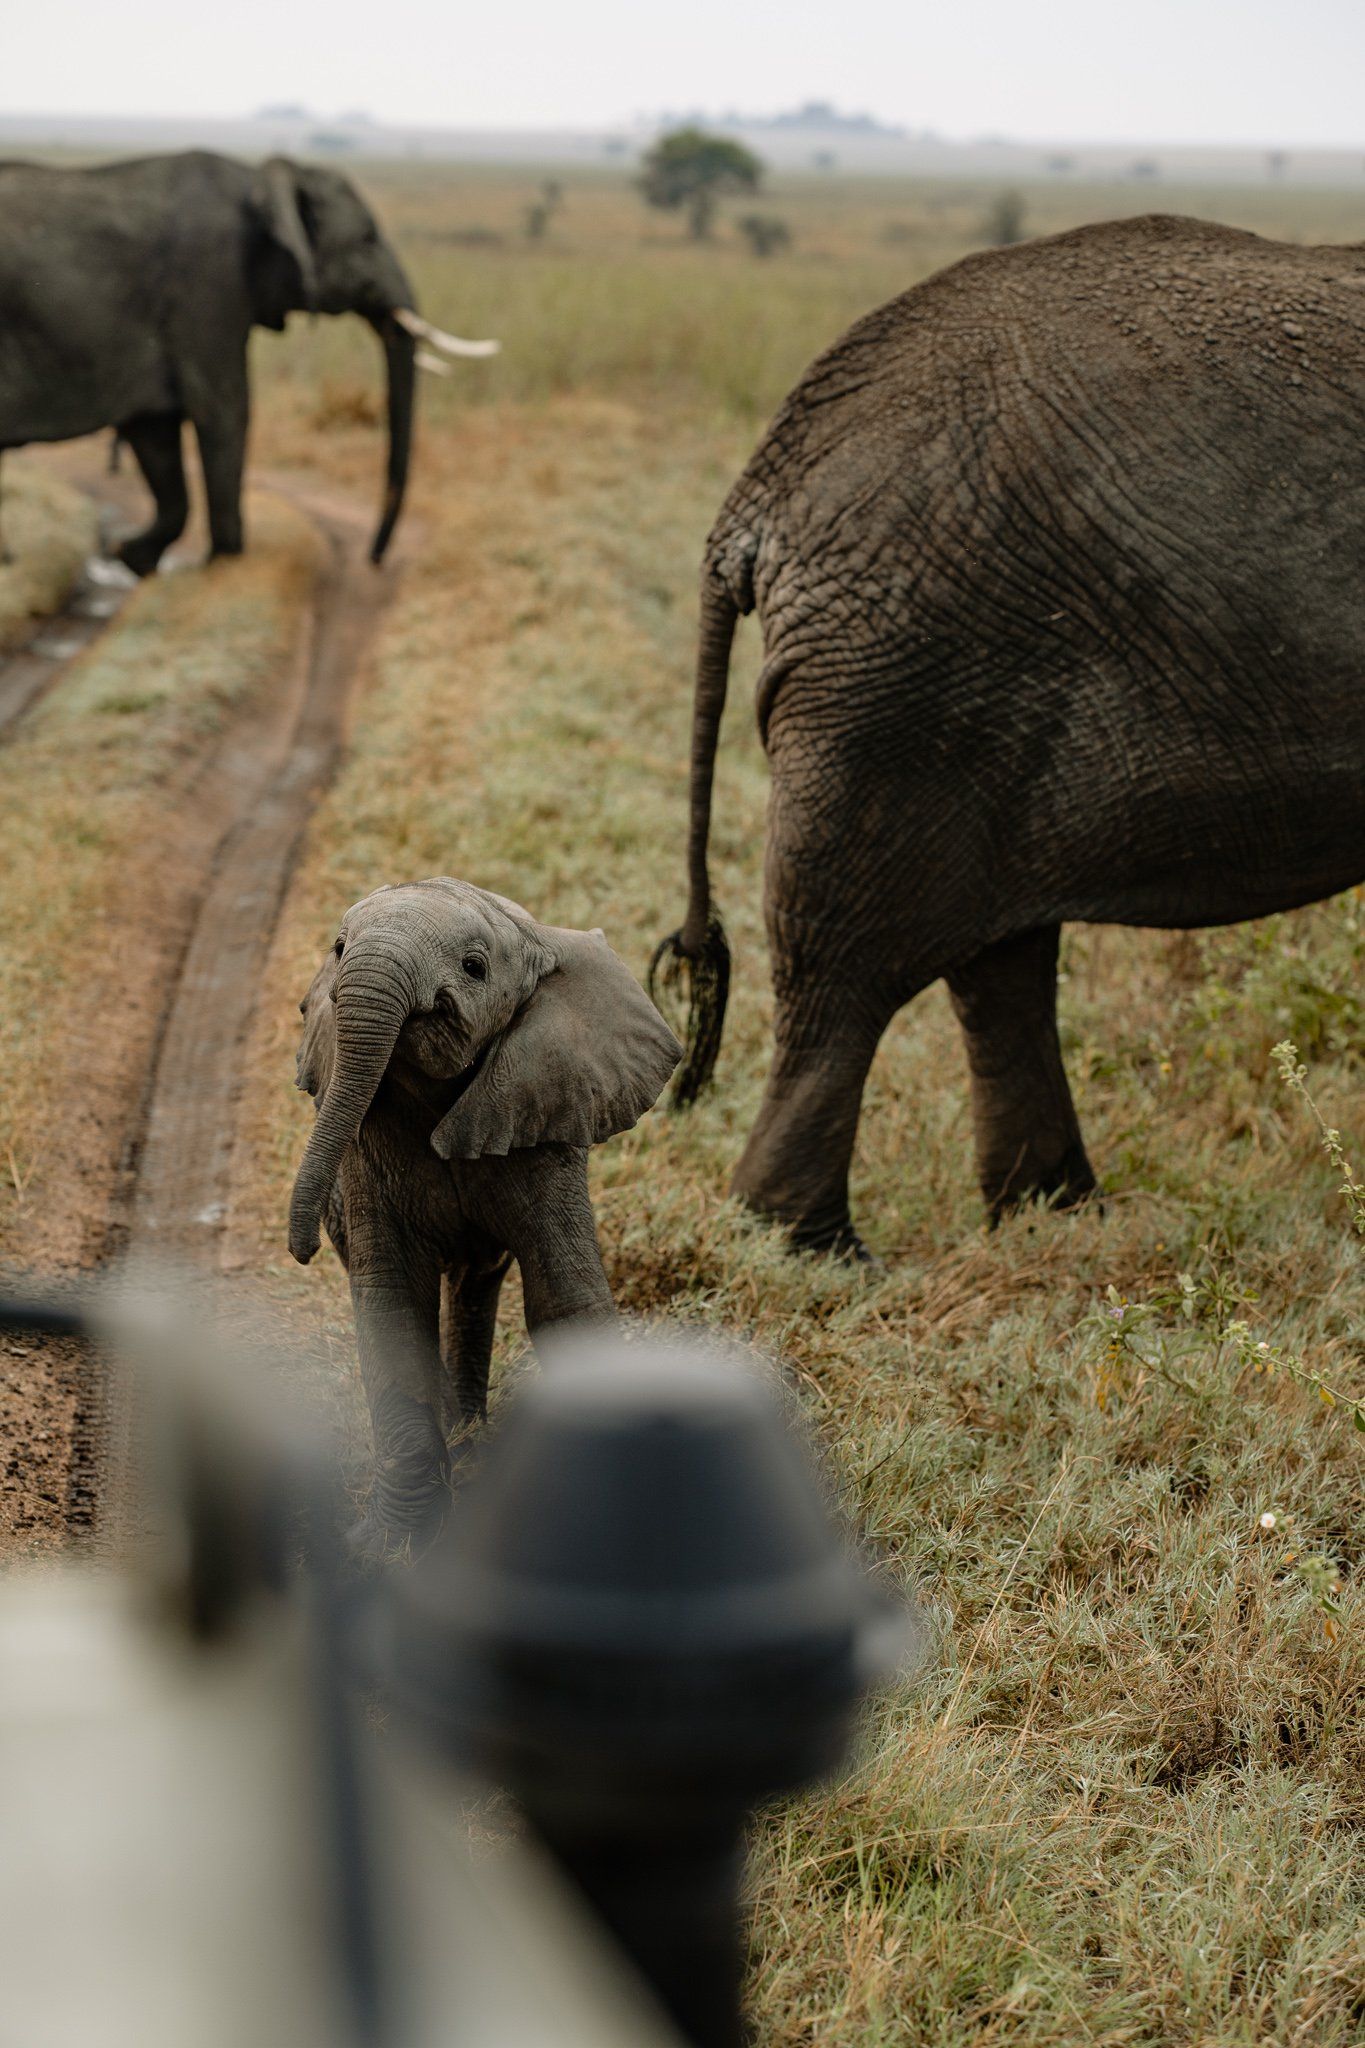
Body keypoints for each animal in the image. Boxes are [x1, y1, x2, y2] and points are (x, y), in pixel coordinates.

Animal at [0, 150, 489, 574]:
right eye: (367, 240)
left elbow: (155, 428)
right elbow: (224, 408)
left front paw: (130, 557)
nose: (374, 558)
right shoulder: (208, 282)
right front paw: (224, 564)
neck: (256, 178)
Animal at [289, 877, 681, 1563]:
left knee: (478, 1281)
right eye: (338, 948)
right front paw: (391, 1547)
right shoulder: (367, 1150)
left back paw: (470, 1433)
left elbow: (564, 1302)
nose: (301, 1248)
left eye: (474, 968)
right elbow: (392, 1305)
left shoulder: (548, 1117)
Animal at [652, 211, 1365, 1258]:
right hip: (896, 673)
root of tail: (758, 493)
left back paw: (1054, 1215)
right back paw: (812, 1251)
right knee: (845, 966)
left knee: (996, 961)